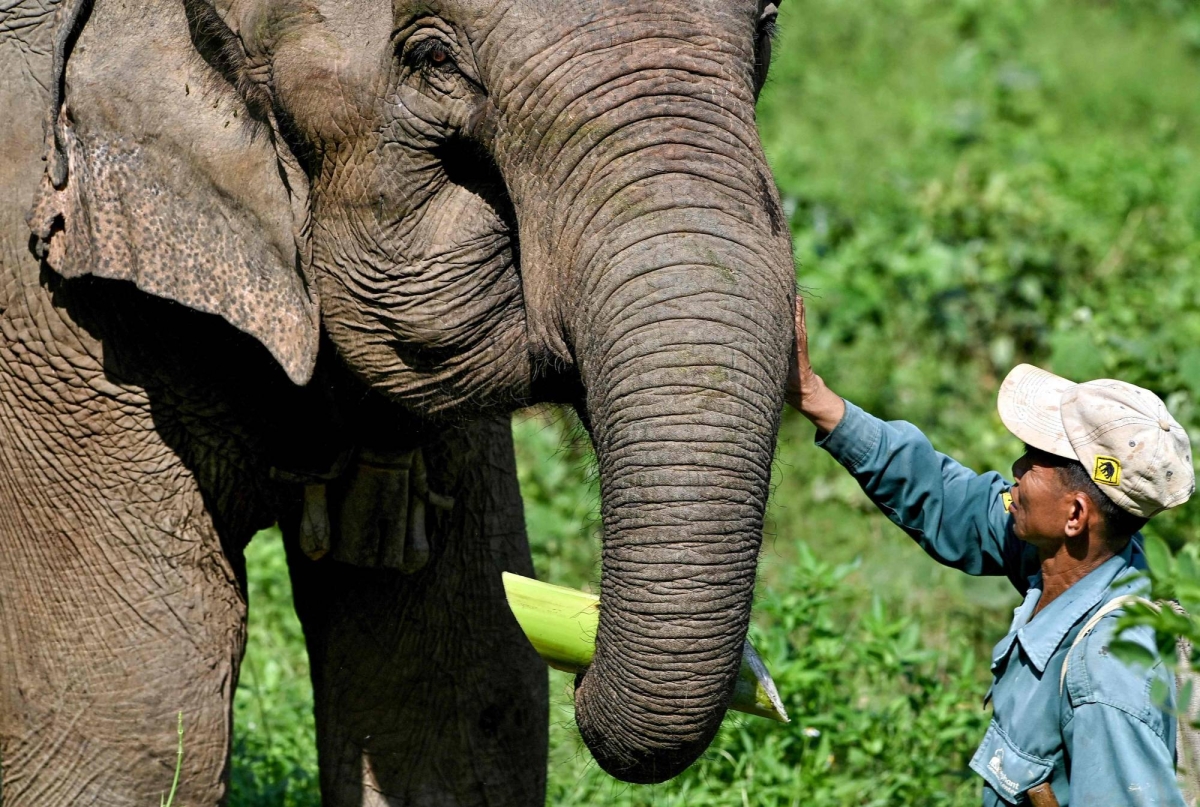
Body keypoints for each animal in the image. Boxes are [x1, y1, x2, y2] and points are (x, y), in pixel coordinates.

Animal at [0, 0, 796, 802]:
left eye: (766, 27)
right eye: (433, 58)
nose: (579, 644)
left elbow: (458, 692)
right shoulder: (61, 320)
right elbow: (134, 720)